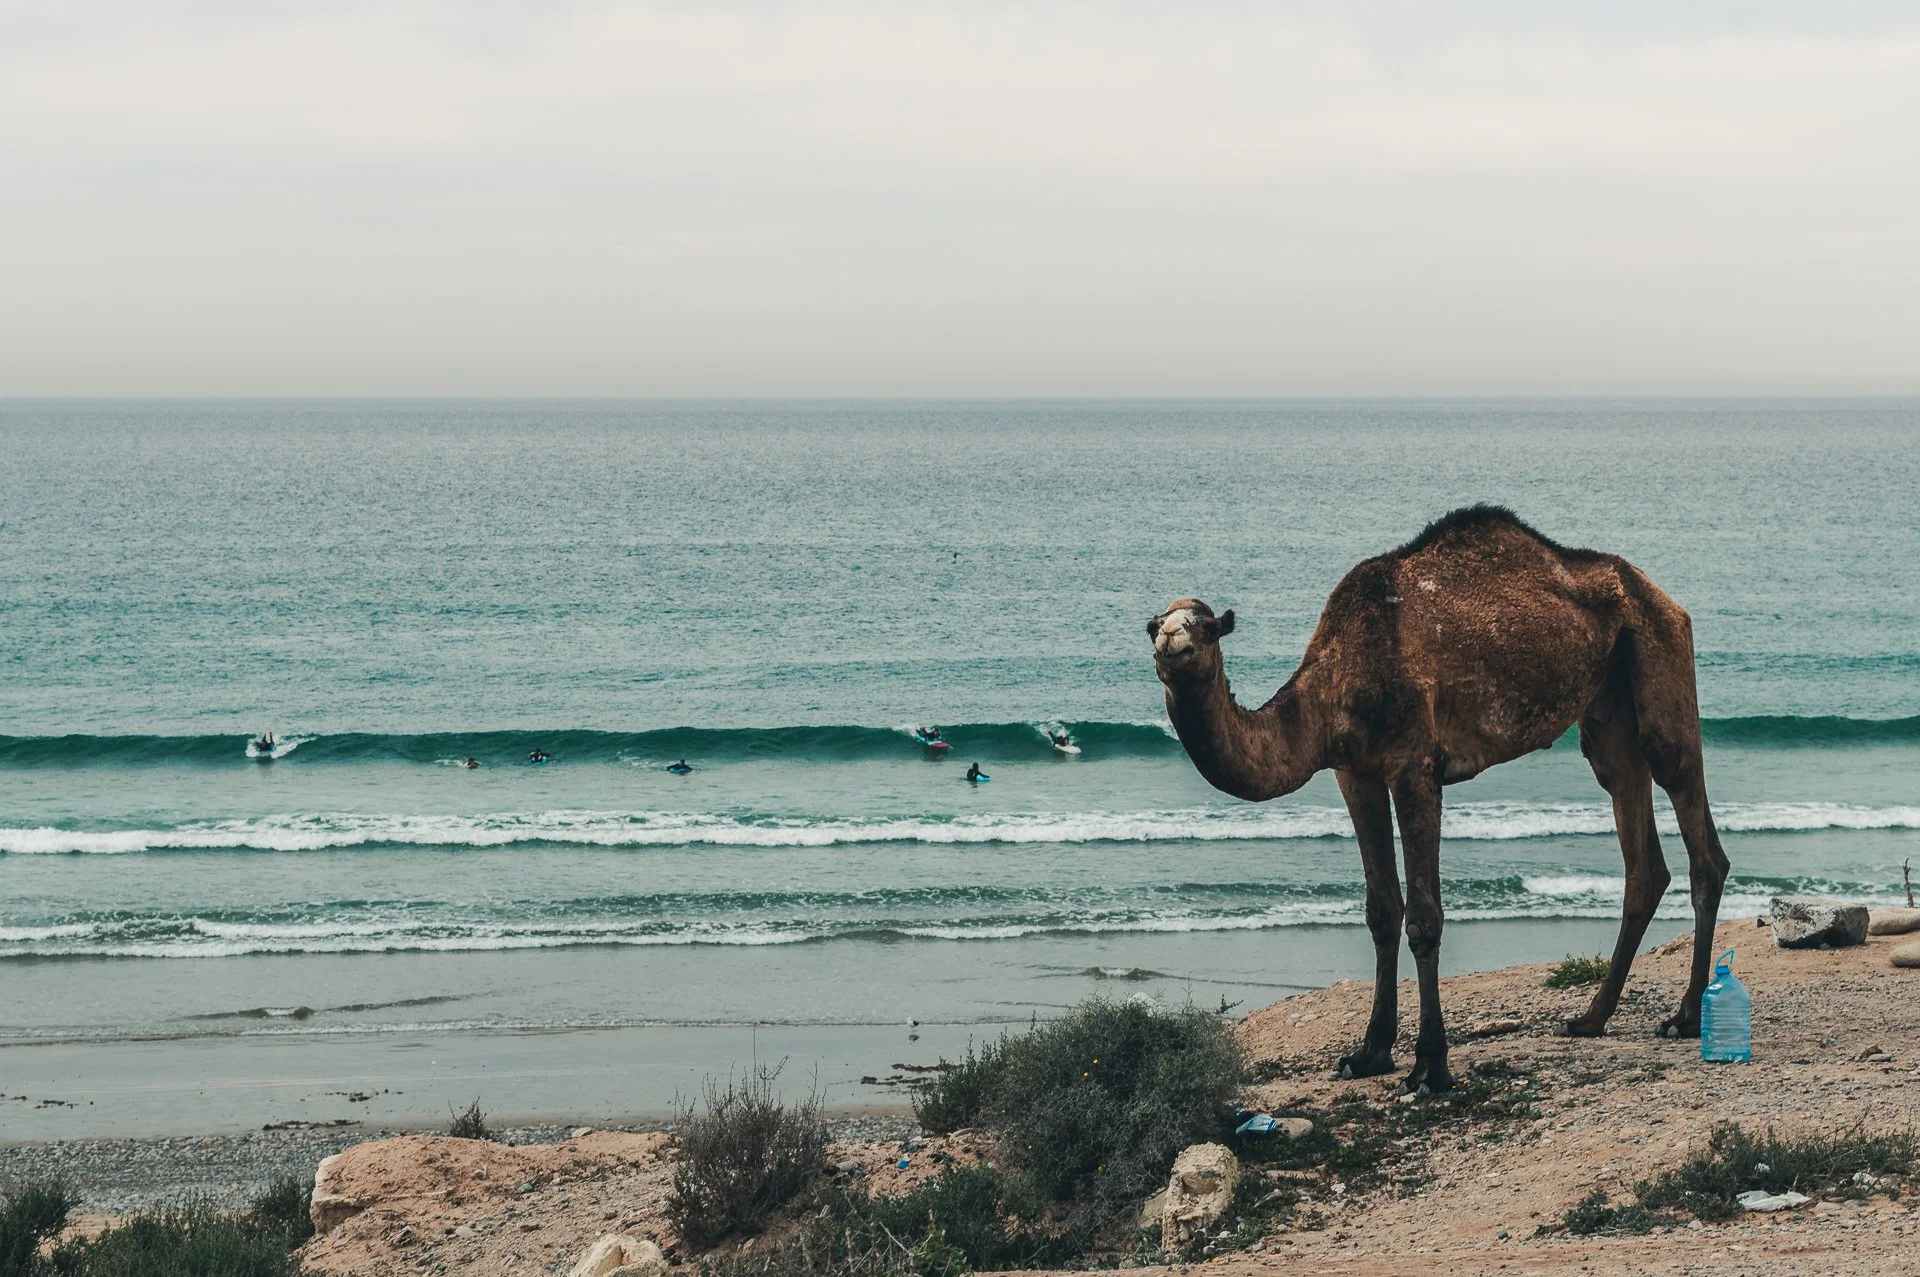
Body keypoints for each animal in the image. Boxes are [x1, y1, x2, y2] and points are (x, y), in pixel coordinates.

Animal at [1148, 505, 1729, 1093]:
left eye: (1206, 628)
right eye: (1156, 625)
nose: (1172, 645)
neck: (1332, 687)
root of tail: (1661, 594)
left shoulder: (1414, 765)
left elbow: (1423, 919)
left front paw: (1429, 1066)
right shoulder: (1353, 772)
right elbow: (1381, 911)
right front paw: (1368, 1053)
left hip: (1660, 647)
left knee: (1687, 803)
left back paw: (1685, 1017)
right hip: (1608, 700)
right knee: (1635, 830)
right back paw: (1591, 1018)